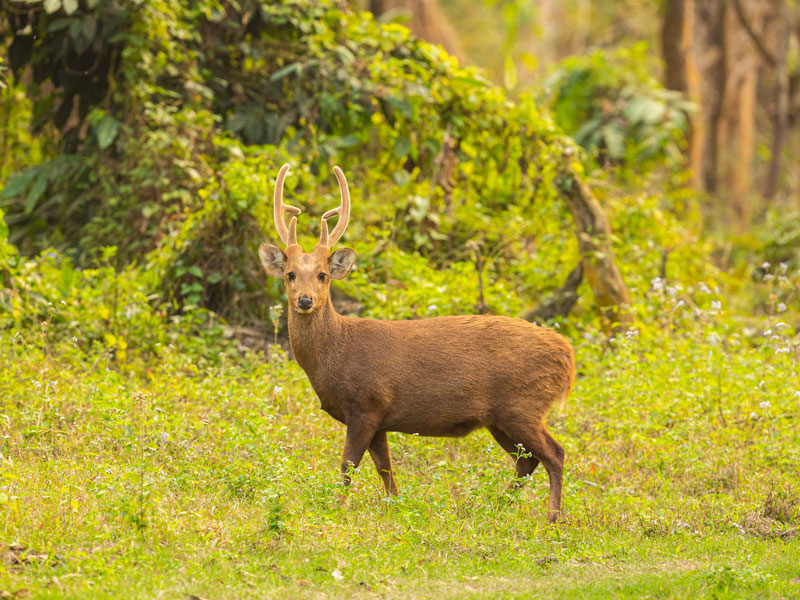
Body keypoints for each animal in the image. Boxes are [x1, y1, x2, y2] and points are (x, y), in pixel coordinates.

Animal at [258, 164, 575, 522]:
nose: (305, 300)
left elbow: (348, 465)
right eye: (290, 274)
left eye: (323, 274)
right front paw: (395, 509)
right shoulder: (379, 418)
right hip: (500, 417)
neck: (336, 355)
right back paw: (490, 506)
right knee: (527, 460)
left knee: (555, 453)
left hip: (523, 404)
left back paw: (551, 518)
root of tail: (568, 354)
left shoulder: (366, 405)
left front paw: (336, 508)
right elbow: (386, 471)